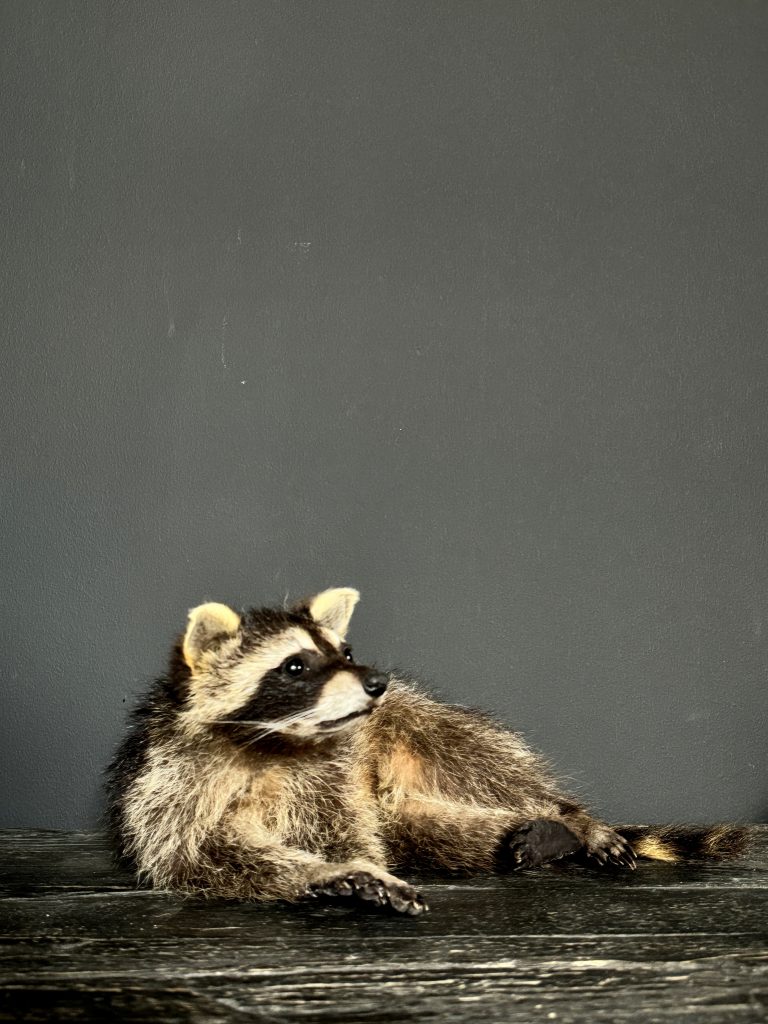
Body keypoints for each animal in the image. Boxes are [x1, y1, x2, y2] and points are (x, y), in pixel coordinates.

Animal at [108, 589, 753, 917]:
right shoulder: (169, 781)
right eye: (295, 666)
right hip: (404, 794)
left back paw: (567, 819)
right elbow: (197, 856)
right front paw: (329, 874)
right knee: (427, 833)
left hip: (420, 729)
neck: (278, 742)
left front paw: (351, 864)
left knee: (489, 769)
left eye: (346, 652)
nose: (376, 682)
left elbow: (345, 830)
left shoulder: (333, 772)